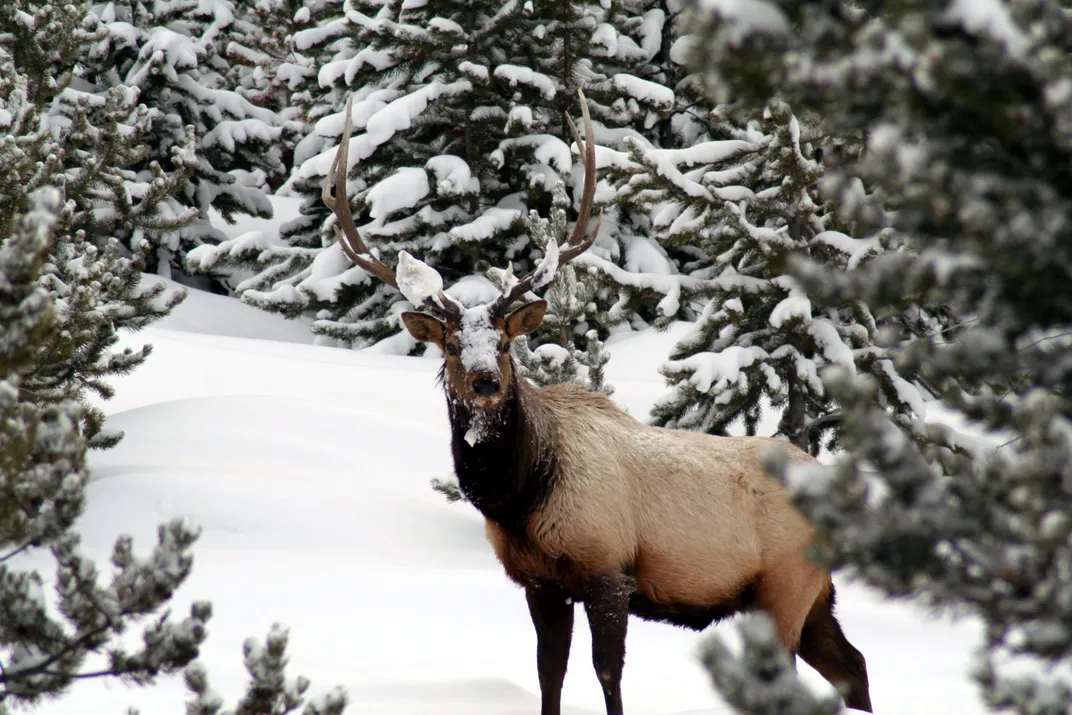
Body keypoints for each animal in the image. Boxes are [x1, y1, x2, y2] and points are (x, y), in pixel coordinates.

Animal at [321, 89, 873, 715]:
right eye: (455, 345)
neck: (517, 494)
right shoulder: (540, 582)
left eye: (505, 343)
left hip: (786, 582)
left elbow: (607, 673)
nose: (485, 382)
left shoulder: (609, 570)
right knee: (853, 666)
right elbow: (549, 675)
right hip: (814, 593)